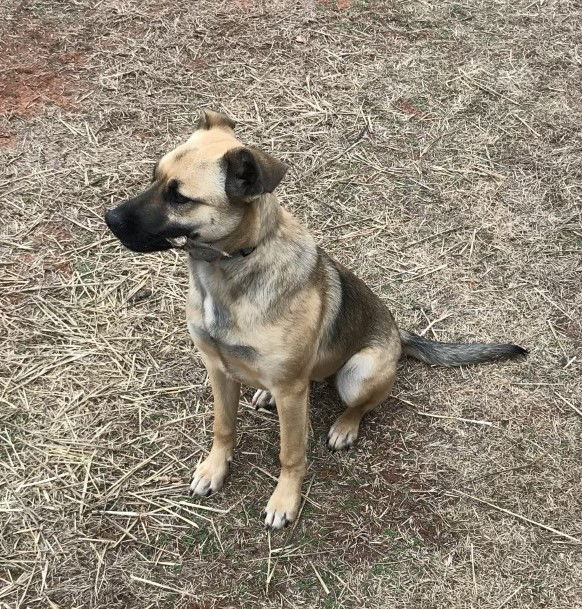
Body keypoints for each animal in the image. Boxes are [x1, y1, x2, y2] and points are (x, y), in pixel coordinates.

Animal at [105, 109, 528, 528]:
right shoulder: (218, 369)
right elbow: (223, 427)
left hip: (357, 374)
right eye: (154, 176)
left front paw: (284, 500)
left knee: (360, 403)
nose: (109, 217)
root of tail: (399, 334)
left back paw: (344, 426)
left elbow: (291, 453)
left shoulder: (291, 394)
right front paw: (214, 469)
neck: (232, 267)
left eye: (179, 197)